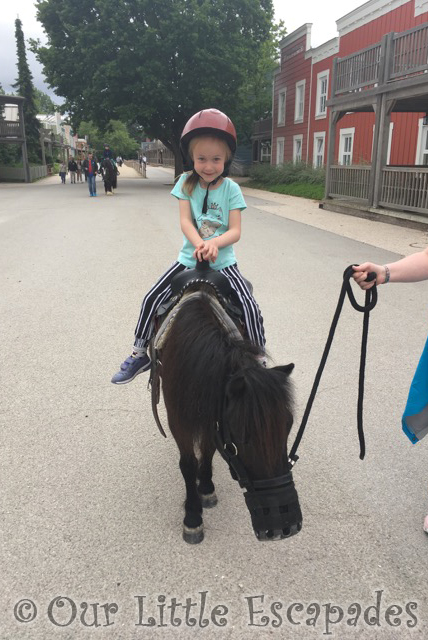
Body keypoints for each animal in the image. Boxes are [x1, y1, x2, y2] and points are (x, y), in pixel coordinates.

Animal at [154, 268, 300, 544]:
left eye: (288, 427)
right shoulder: (177, 418)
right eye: (243, 437)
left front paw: (206, 488)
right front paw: (193, 518)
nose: (283, 528)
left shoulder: (215, 414)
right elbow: (188, 464)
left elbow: (209, 450)